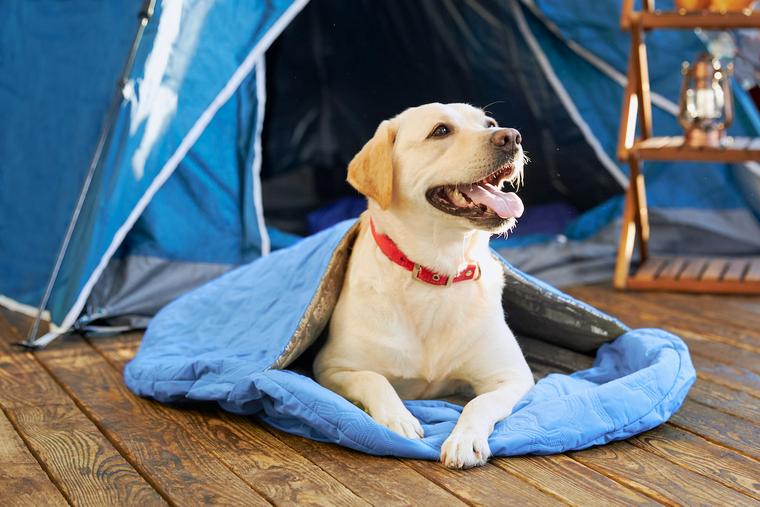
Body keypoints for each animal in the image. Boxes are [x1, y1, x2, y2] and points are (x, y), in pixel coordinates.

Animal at [314, 102, 536, 468]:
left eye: (490, 124)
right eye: (441, 131)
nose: (512, 137)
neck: (439, 271)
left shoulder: (512, 376)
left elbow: (479, 403)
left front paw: (465, 439)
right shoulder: (331, 367)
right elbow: (374, 379)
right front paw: (398, 419)